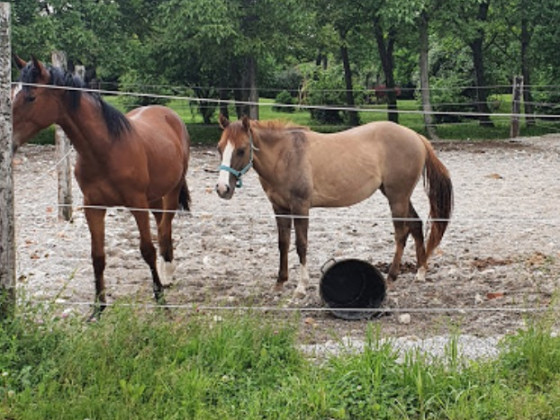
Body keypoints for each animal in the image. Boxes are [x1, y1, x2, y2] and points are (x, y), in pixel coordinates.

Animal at [12, 56, 191, 318]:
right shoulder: (93, 207)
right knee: (161, 226)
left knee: (165, 227)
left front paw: (160, 300)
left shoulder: (137, 205)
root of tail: (169, 114)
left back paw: (167, 273)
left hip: (172, 190)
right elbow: (97, 256)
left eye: (31, 97)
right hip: (154, 196)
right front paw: (98, 308)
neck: (106, 149)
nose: (8, 141)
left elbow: (146, 249)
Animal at [217, 115, 452, 298]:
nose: (222, 189)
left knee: (401, 234)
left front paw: (301, 286)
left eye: (241, 150)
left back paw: (392, 277)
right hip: (397, 196)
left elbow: (301, 244)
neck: (286, 155)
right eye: (220, 149)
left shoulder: (300, 207)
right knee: (416, 225)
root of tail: (416, 137)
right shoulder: (279, 208)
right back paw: (420, 272)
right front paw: (280, 282)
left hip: (397, 198)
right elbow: (283, 244)